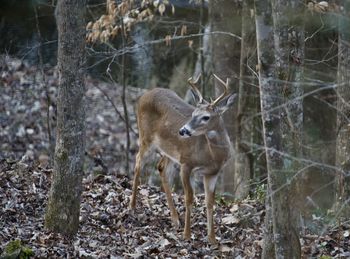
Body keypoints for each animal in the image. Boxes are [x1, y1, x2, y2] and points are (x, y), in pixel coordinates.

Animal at [130, 74, 237, 245]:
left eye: (206, 117)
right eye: (193, 114)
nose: (182, 131)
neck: (212, 155)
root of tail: (145, 95)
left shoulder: (212, 173)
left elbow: (210, 201)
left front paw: (212, 238)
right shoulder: (187, 164)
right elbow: (189, 197)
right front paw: (187, 234)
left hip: (170, 151)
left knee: (161, 167)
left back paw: (175, 219)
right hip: (145, 137)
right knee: (138, 161)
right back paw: (132, 206)